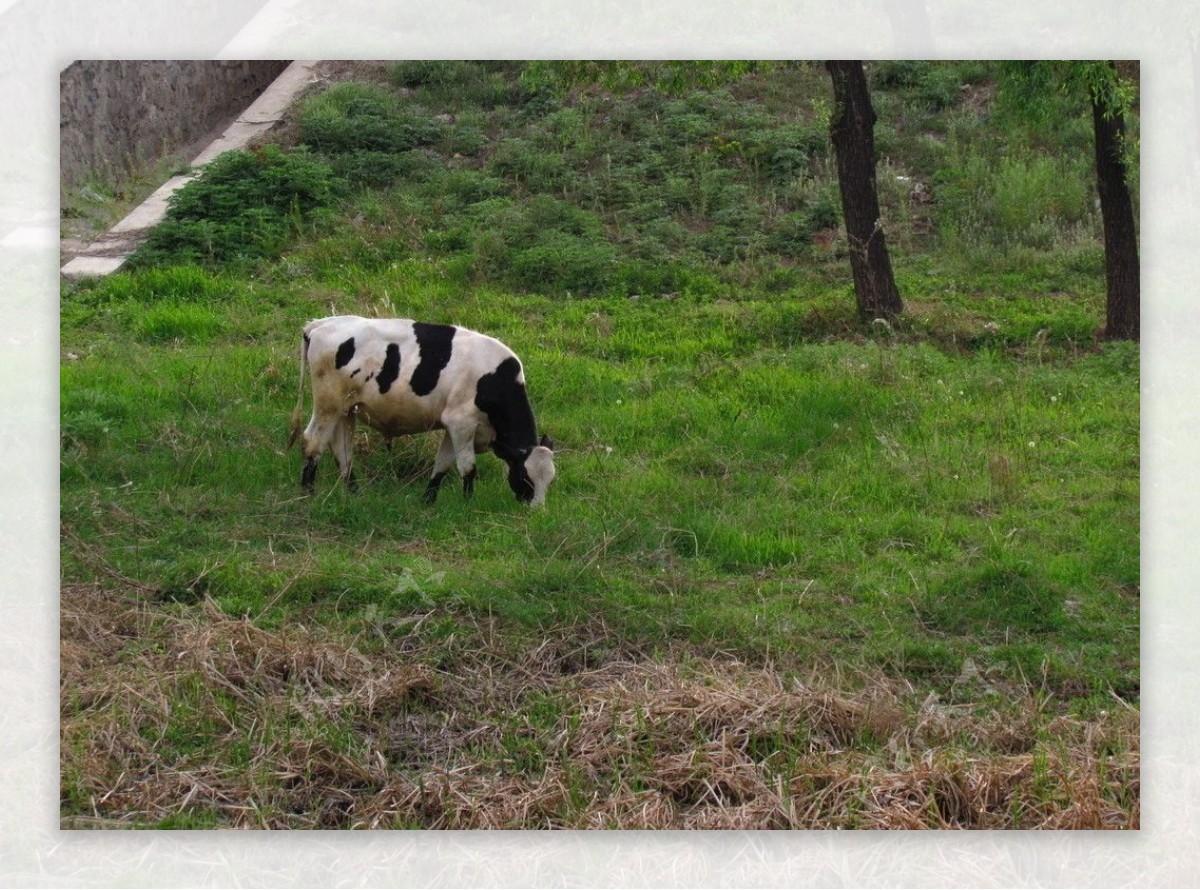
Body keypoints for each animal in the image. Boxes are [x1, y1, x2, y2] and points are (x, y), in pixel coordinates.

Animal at [290, 316, 556, 506]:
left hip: (346, 409)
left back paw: (353, 492)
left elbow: (442, 465)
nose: (536, 510)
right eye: (525, 477)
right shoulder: (462, 423)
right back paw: (308, 493)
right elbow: (468, 469)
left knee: (341, 449)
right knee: (313, 442)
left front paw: (428, 501)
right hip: (329, 405)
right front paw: (468, 505)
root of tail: (321, 324)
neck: (496, 380)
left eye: (551, 480)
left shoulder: (453, 427)